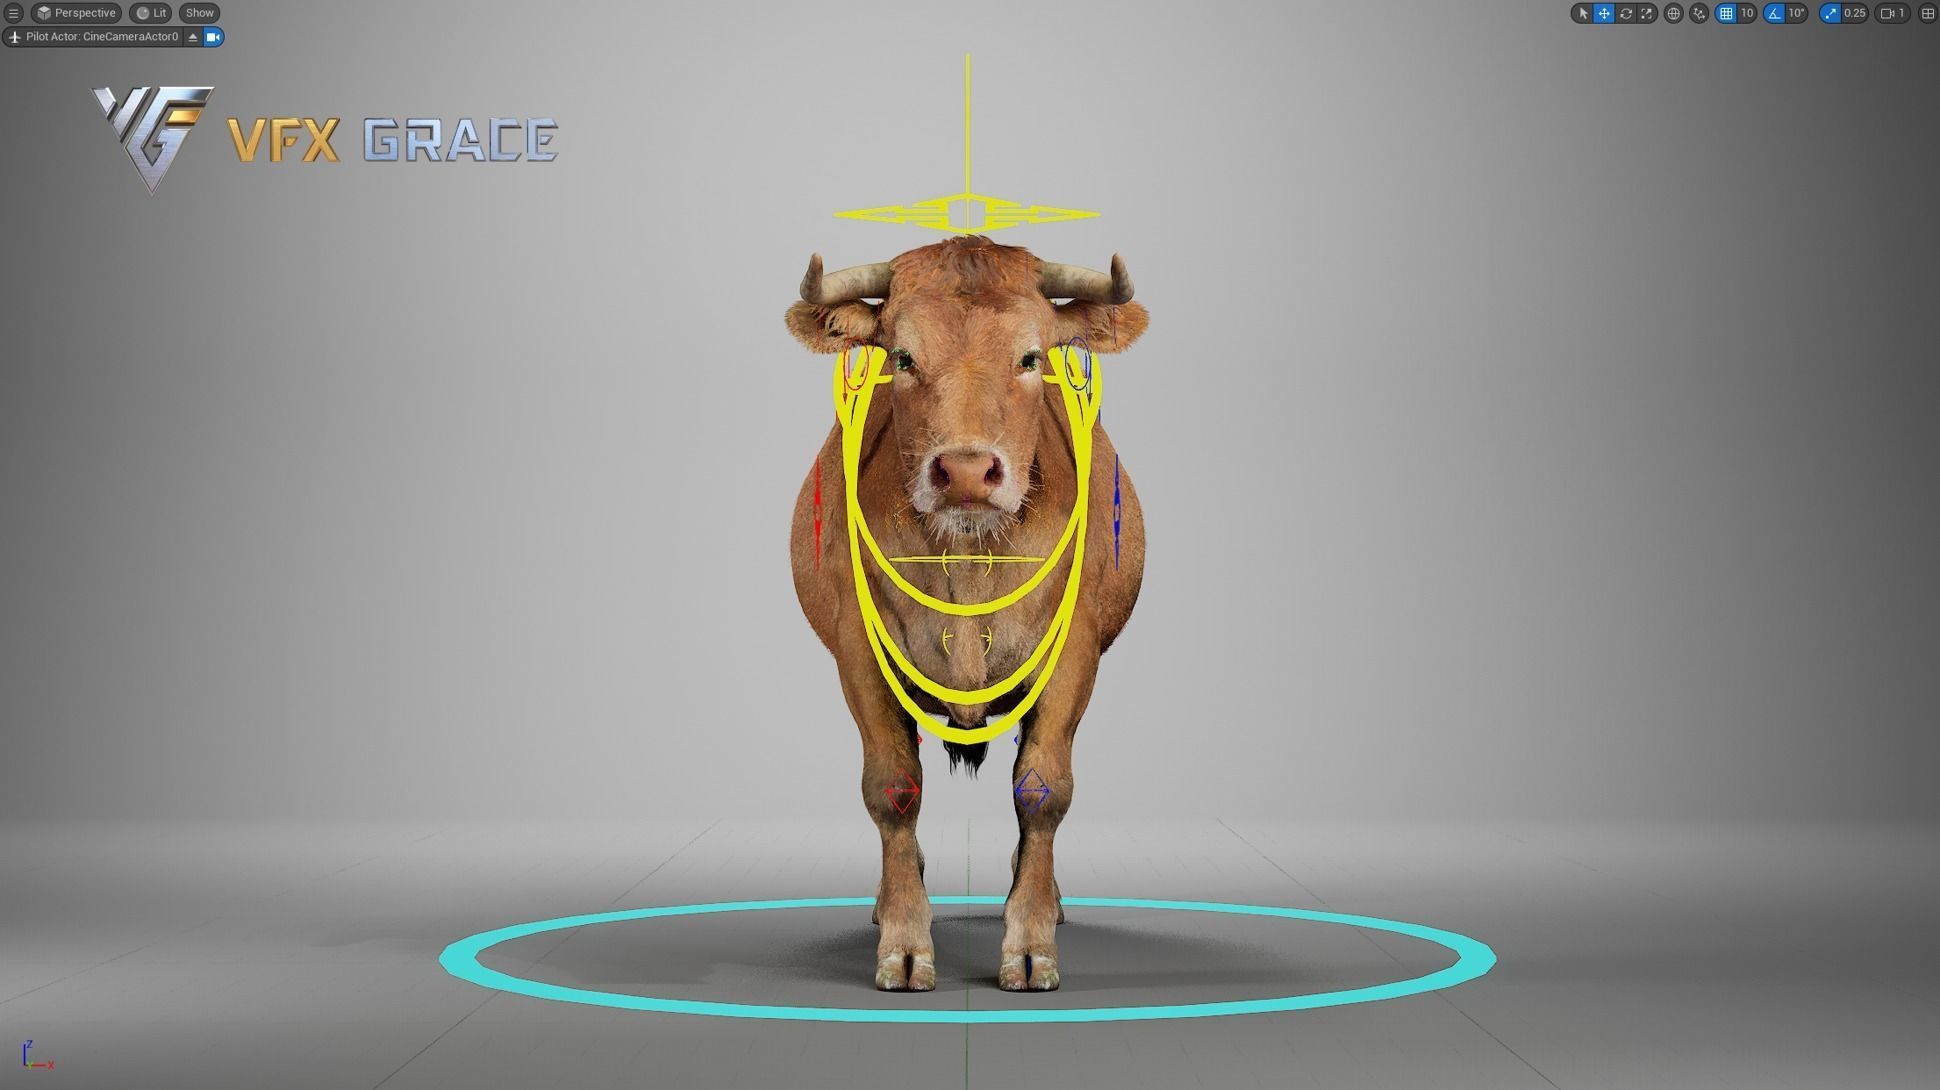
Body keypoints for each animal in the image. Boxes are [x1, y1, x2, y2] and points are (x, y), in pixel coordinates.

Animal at [785, 235, 1149, 991]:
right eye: (902, 357)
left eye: (1031, 356)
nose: (967, 473)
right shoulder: (858, 651)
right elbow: (892, 787)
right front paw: (904, 944)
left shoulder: (1075, 653)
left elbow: (1043, 790)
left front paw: (1031, 945)